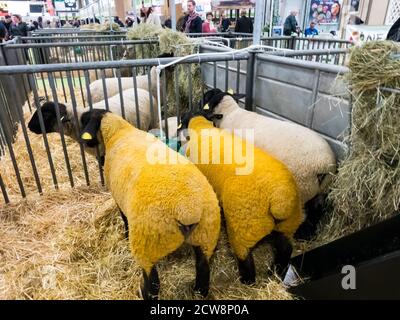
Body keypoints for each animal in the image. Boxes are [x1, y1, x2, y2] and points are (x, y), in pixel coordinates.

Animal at [78, 110, 222, 300]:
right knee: (203, 270)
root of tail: (187, 209)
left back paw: (142, 291)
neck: (118, 132)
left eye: (84, 120)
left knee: (153, 283)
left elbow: (124, 219)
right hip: (206, 236)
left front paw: (125, 235)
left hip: (147, 246)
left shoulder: (118, 200)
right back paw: (198, 292)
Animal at [178, 111, 304, 284]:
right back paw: (275, 273)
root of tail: (280, 199)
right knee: (286, 249)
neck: (201, 127)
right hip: (287, 224)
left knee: (246, 260)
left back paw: (247, 281)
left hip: (243, 228)